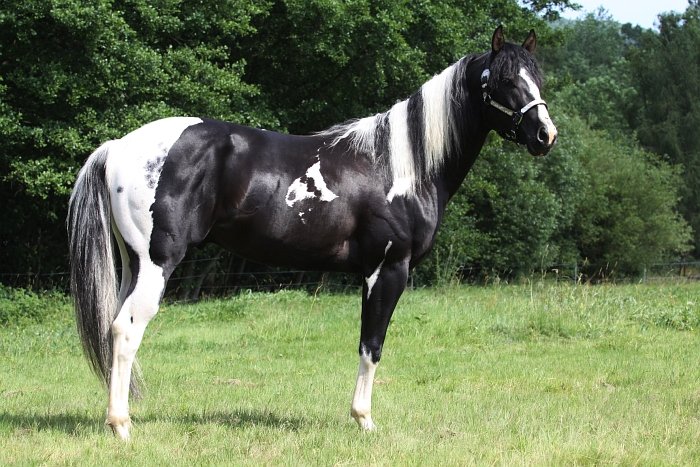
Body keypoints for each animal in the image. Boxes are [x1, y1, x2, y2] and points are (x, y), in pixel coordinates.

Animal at [68, 26, 557, 440]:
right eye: (504, 79)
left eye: (537, 77)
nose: (545, 135)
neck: (400, 165)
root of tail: (119, 147)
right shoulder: (388, 269)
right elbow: (371, 346)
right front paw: (364, 420)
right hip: (158, 263)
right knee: (127, 330)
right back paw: (121, 426)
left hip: (133, 265)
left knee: (115, 328)